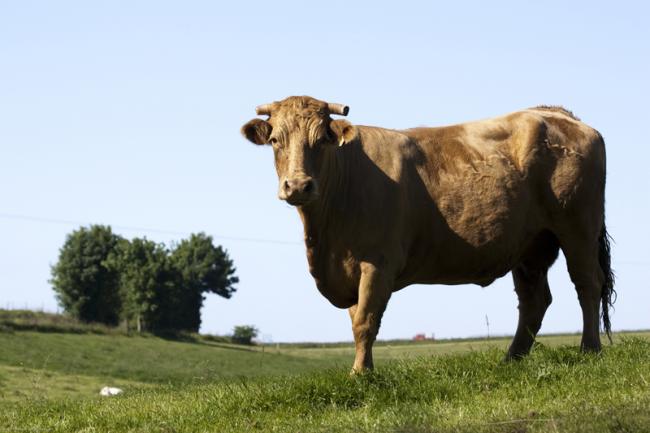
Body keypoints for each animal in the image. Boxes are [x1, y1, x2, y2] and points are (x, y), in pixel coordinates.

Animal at [241, 96, 615, 372]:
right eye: (275, 141)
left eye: (321, 141)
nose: (298, 185)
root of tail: (554, 114)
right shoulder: (349, 268)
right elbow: (356, 318)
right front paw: (365, 369)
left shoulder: (378, 262)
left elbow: (366, 320)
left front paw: (361, 374)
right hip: (531, 244)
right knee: (534, 300)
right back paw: (511, 360)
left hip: (578, 226)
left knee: (588, 283)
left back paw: (589, 350)